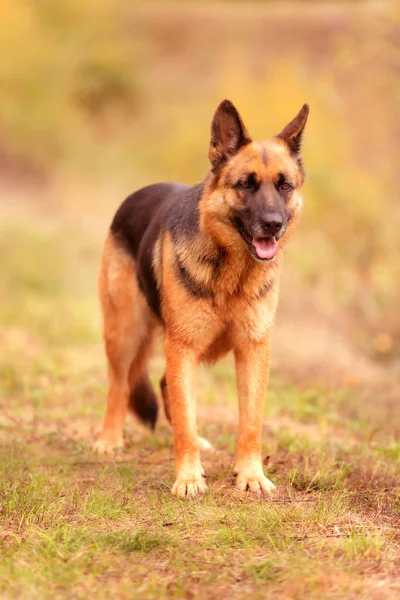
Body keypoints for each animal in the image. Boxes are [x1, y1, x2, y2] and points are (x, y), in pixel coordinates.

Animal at [94, 101, 310, 500]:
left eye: (285, 186)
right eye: (245, 184)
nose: (273, 224)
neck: (232, 274)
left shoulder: (253, 350)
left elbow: (250, 421)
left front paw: (250, 474)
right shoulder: (183, 347)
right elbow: (183, 417)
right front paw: (188, 478)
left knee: (164, 386)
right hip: (125, 333)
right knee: (120, 385)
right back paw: (109, 439)